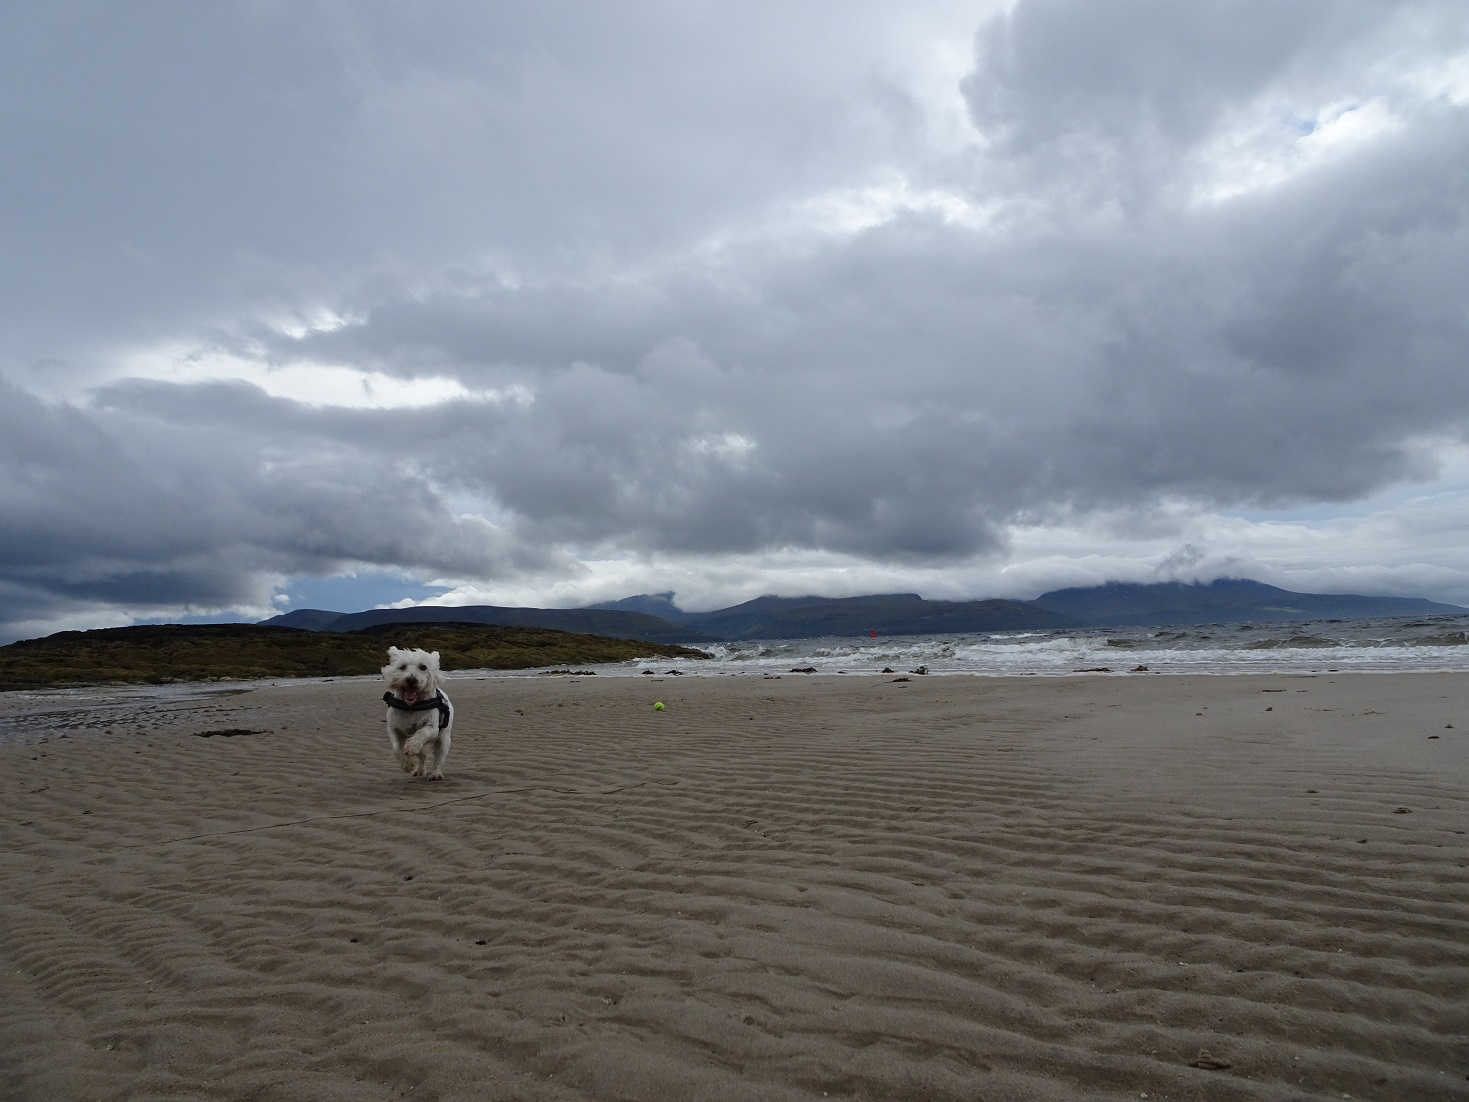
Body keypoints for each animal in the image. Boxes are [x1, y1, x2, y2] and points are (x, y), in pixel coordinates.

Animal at [379, 646, 452, 787]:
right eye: (402, 667)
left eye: (423, 667)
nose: (411, 680)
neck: (412, 706)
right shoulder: (393, 728)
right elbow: (396, 748)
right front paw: (407, 764)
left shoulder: (432, 728)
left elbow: (422, 733)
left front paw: (411, 746)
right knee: (422, 756)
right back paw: (419, 770)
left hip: (444, 739)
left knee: (438, 757)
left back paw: (435, 774)